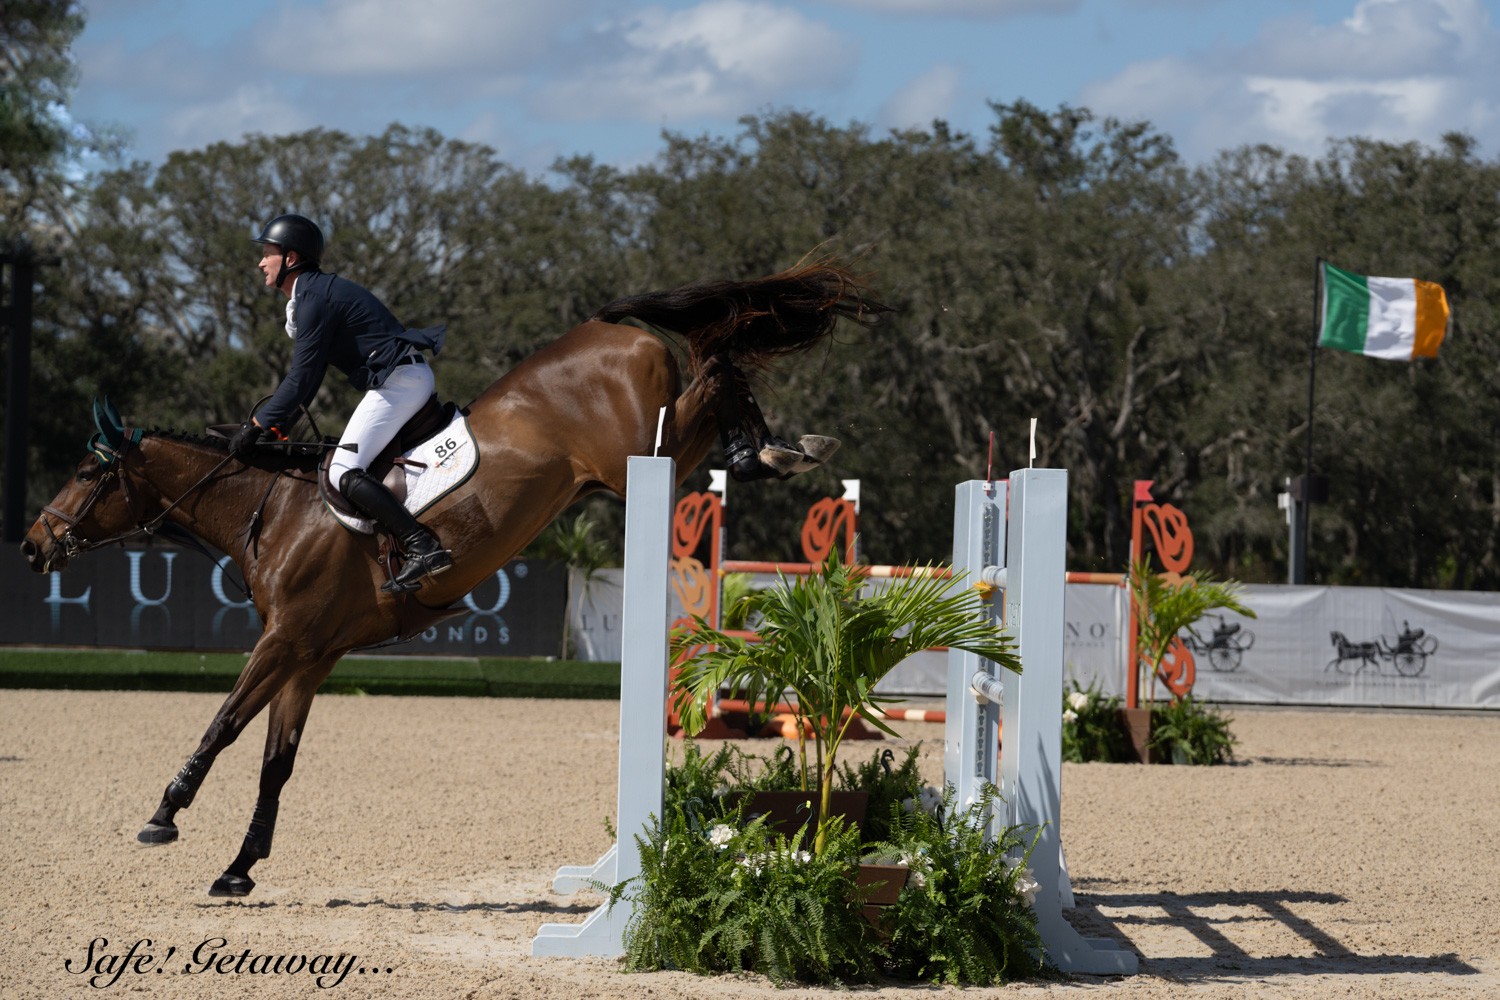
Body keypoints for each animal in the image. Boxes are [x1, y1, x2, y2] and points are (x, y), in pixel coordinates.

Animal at [20, 260, 881, 898]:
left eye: (86, 473)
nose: (33, 547)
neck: (276, 510)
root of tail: (608, 326)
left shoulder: (284, 641)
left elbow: (223, 724)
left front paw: (165, 815)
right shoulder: (311, 656)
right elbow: (276, 760)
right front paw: (238, 869)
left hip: (639, 448)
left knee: (715, 373)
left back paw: (771, 449)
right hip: (646, 451)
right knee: (715, 369)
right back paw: (775, 449)